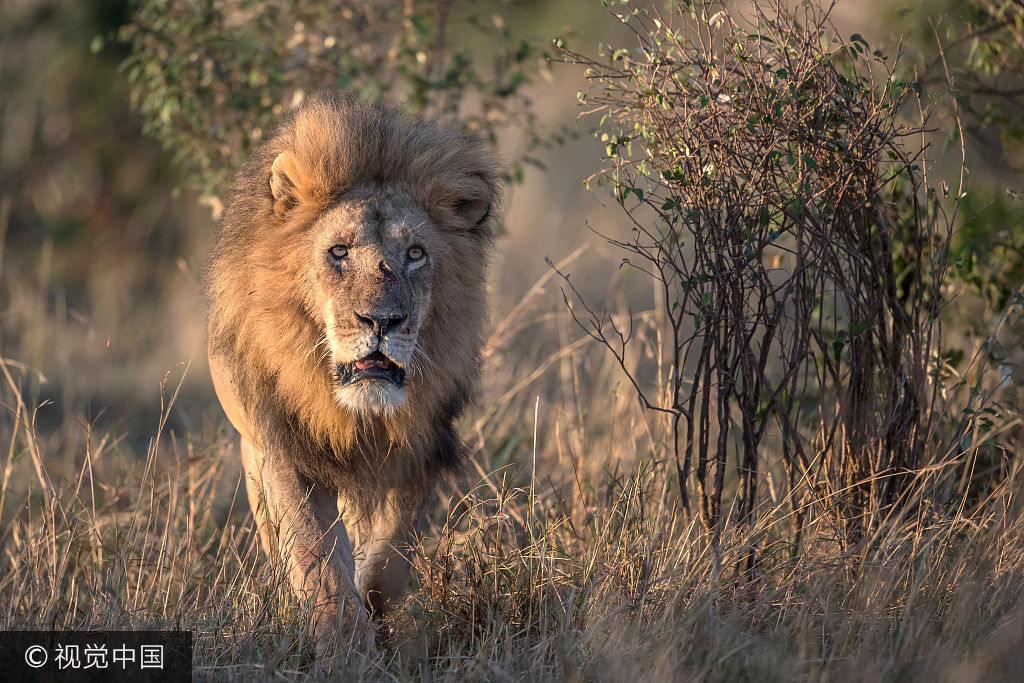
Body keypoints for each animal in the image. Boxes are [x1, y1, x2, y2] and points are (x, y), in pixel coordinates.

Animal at [204, 97, 499, 655]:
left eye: (415, 254)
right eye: (339, 252)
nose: (382, 321)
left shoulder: (422, 444)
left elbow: (394, 554)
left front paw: (374, 605)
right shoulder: (286, 447)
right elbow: (317, 561)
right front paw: (347, 649)